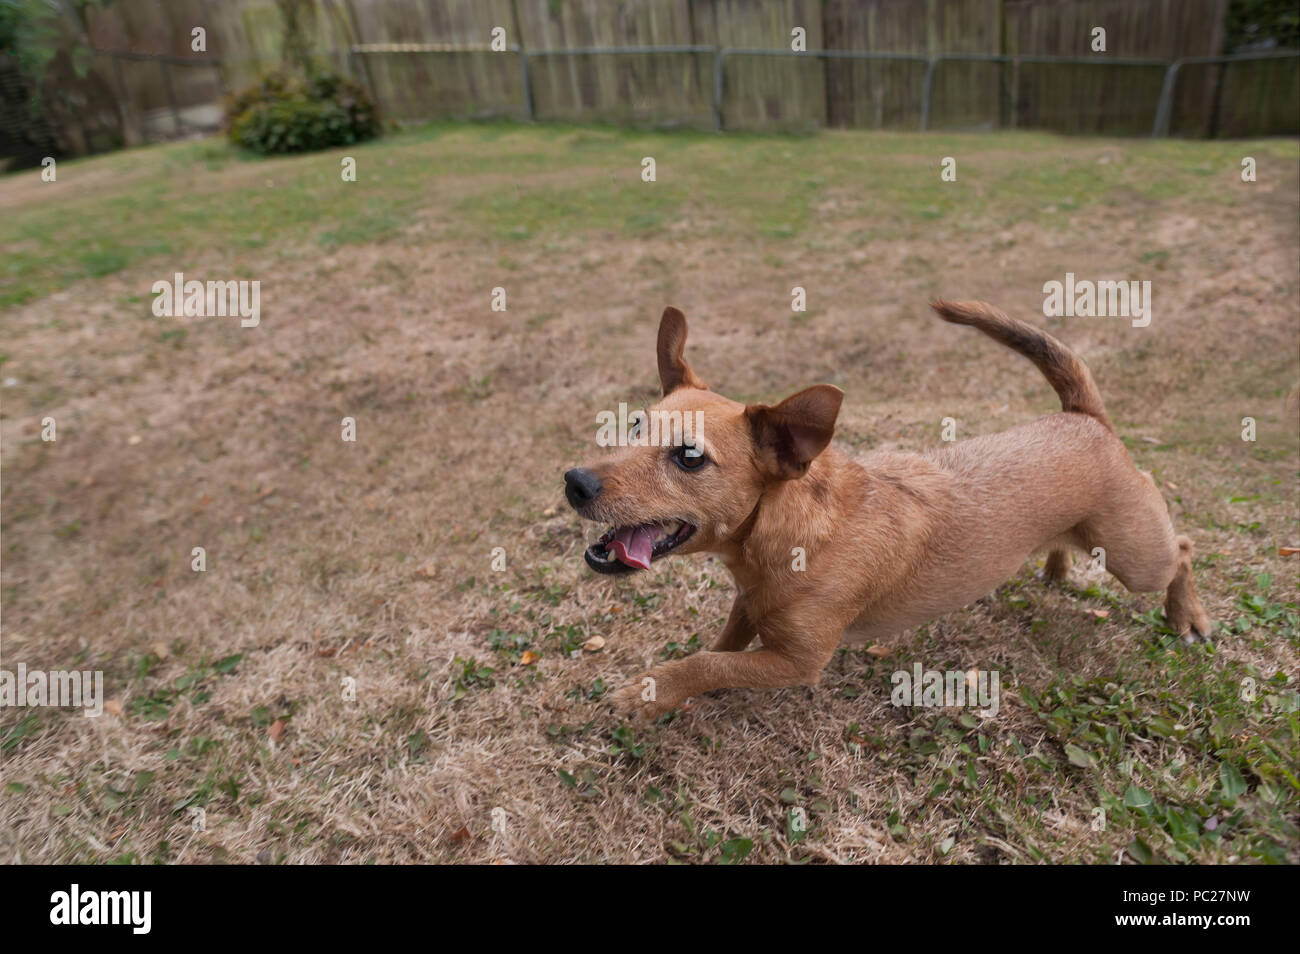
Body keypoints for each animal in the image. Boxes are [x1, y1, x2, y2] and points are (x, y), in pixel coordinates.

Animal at [564, 302, 1211, 722]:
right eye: (636, 425)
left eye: (690, 457)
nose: (574, 481)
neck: (785, 537)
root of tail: (1084, 417)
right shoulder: (748, 610)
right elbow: (720, 647)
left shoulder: (796, 662)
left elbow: (708, 663)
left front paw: (650, 691)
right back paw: (1055, 564)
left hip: (1135, 557)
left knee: (1181, 550)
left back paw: (1188, 615)